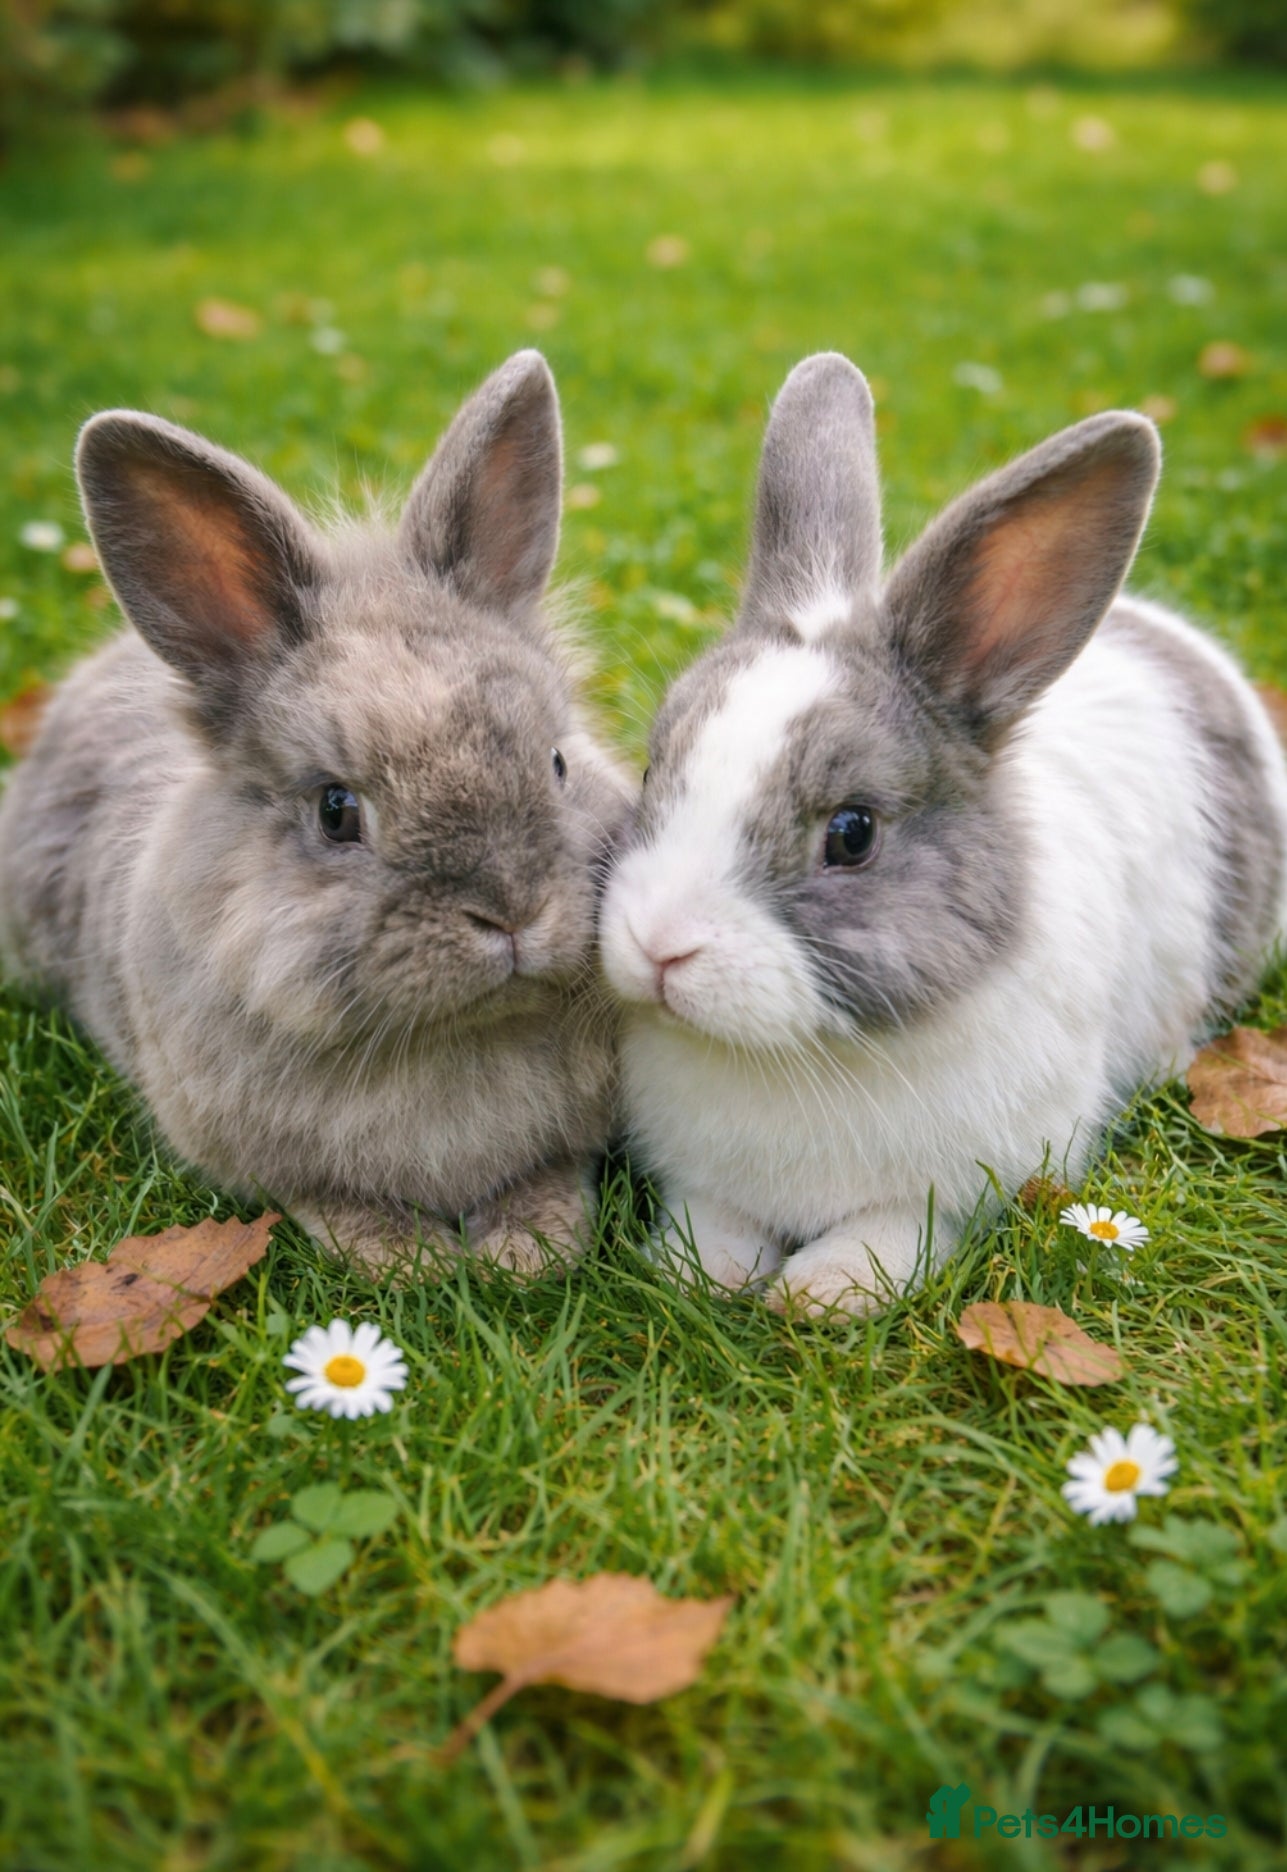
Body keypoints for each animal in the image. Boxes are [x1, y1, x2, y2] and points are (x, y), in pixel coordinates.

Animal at [0, 350, 633, 1276]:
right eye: (337, 811)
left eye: (556, 762)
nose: (513, 912)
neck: (455, 1036)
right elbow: (329, 1201)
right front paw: (410, 1260)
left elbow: (553, 1172)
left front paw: (527, 1249)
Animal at [599, 351, 1287, 1315]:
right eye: (654, 769)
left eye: (852, 833)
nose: (658, 947)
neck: (797, 1055)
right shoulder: (703, 1179)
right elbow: (713, 1219)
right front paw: (697, 1271)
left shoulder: (961, 1189)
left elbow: (896, 1231)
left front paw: (824, 1291)